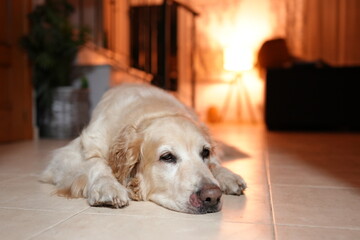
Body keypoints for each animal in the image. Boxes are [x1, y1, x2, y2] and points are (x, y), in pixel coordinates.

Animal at [40, 83, 246, 214]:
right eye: (167, 157)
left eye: (205, 152)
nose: (212, 196)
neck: (151, 112)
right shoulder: (66, 155)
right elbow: (96, 163)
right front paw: (107, 186)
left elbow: (213, 163)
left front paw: (225, 175)